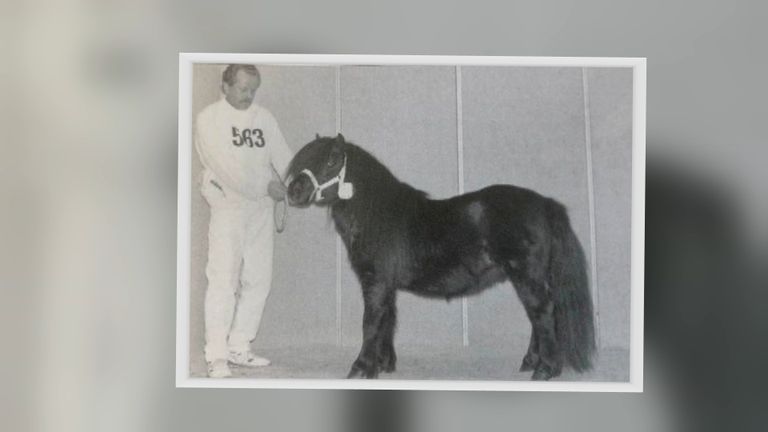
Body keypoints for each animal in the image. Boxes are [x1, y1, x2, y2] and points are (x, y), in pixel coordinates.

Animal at [284, 133, 596, 380]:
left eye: (332, 160)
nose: (293, 191)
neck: (378, 216)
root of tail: (545, 203)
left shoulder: (375, 282)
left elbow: (371, 322)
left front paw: (361, 368)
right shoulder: (386, 285)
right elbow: (387, 320)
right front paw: (383, 365)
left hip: (526, 275)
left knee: (542, 312)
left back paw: (545, 369)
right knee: (538, 315)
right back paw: (530, 362)